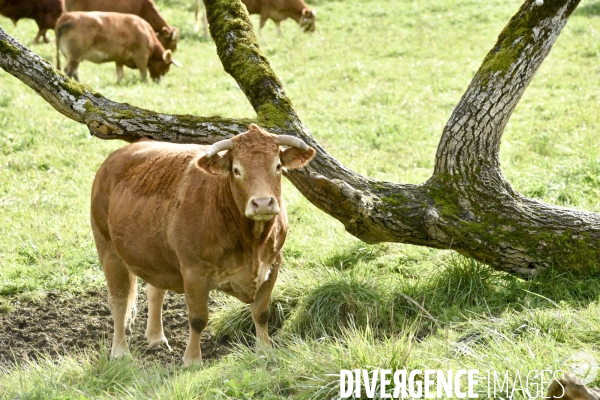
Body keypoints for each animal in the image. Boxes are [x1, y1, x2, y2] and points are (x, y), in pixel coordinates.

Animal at [91, 124, 316, 366]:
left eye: (278, 166)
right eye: (236, 170)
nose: (263, 203)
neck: (251, 243)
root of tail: (117, 156)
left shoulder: (273, 263)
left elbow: (261, 312)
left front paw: (265, 351)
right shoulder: (194, 271)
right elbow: (198, 318)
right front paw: (192, 360)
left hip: (156, 255)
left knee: (155, 290)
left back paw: (156, 338)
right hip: (107, 248)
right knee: (119, 300)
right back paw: (120, 351)